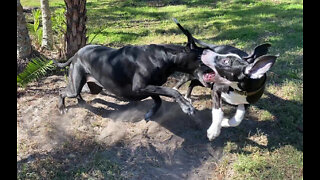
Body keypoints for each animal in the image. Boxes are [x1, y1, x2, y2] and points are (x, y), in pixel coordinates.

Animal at [52, 22, 206, 121]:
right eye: (202, 58)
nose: (211, 70)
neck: (164, 57)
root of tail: (76, 54)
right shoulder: (140, 86)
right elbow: (172, 91)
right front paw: (187, 107)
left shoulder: (148, 87)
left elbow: (159, 100)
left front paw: (150, 114)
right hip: (76, 84)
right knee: (62, 91)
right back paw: (61, 108)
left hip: (93, 86)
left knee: (86, 93)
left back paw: (81, 101)